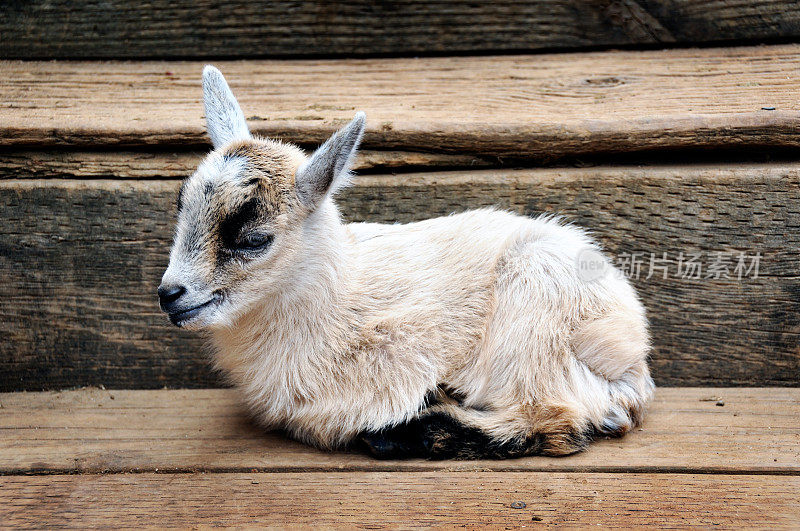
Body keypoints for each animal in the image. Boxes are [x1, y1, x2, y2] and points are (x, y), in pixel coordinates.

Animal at [159, 65, 652, 458]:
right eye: (181, 210)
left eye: (254, 239)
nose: (169, 295)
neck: (336, 301)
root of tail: (631, 356)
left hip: (531, 319)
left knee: (554, 421)